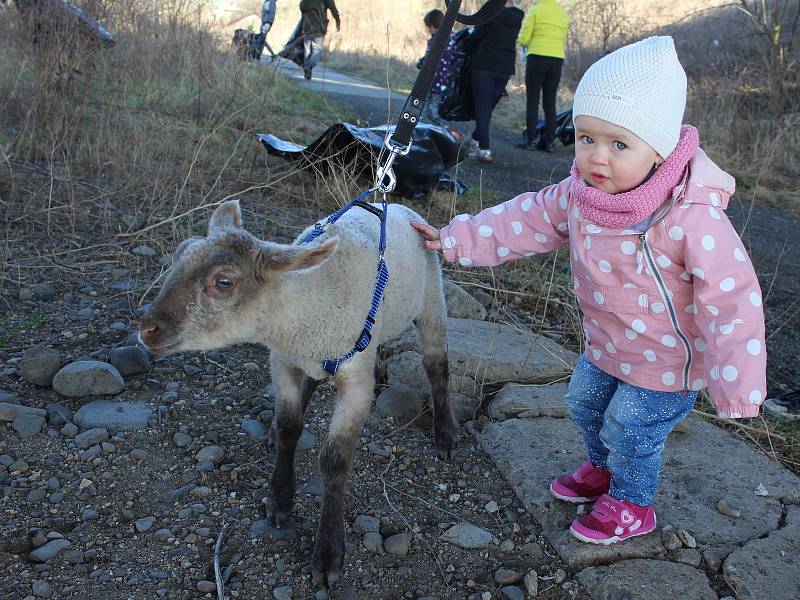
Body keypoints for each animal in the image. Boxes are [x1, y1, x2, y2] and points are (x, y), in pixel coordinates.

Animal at [139, 199, 456, 584]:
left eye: (224, 281)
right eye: (178, 255)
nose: (147, 330)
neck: (305, 313)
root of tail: (392, 202)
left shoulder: (357, 381)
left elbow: (335, 459)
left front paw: (328, 550)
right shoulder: (282, 361)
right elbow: (289, 427)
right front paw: (279, 498)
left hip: (432, 302)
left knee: (436, 366)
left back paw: (445, 434)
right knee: (314, 381)